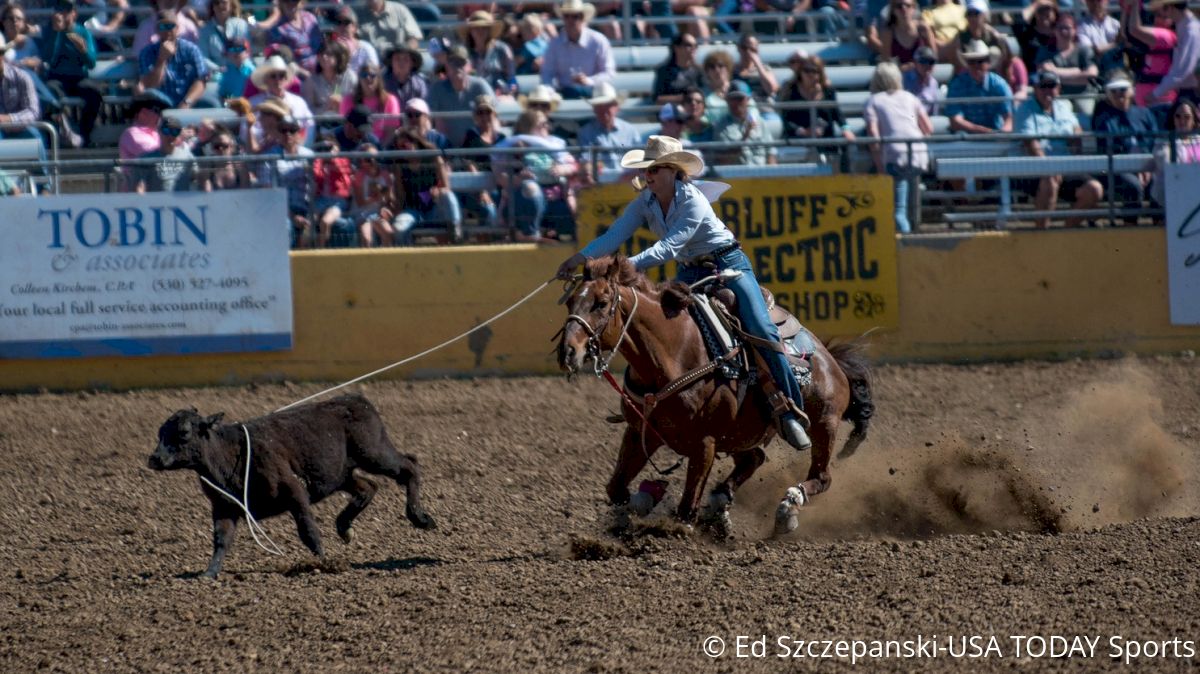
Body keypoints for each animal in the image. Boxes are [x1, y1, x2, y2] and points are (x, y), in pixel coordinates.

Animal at [556, 256, 878, 534]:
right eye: (571, 301)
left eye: (601, 303)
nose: (567, 352)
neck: (673, 353)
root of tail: (829, 358)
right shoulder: (640, 432)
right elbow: (617, 488)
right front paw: (642, 502)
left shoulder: (704, 444)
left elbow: (686, 510)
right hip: (743, 433)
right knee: (755, 459)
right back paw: (721, 506)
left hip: (824, 422)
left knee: (821, 477)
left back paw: (787, 509)